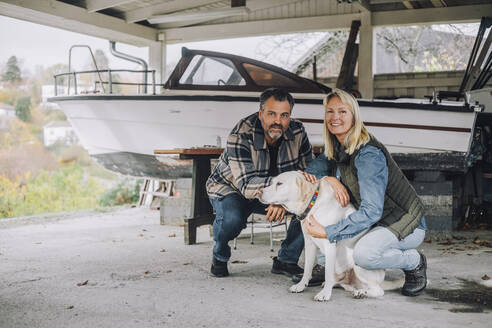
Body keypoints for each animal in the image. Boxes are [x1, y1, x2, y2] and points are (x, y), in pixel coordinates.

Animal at [260, 170, 390, 302]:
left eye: (280, 183)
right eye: (272, 182)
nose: (259, 192)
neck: (314, 204)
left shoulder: (329, 243)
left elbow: (327, 273)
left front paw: (325, 294)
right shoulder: (309, 242)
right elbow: (307, 268)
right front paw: (301, 285)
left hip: (358, 264)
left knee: (378, 290)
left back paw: (361, 292)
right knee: (345, 283)